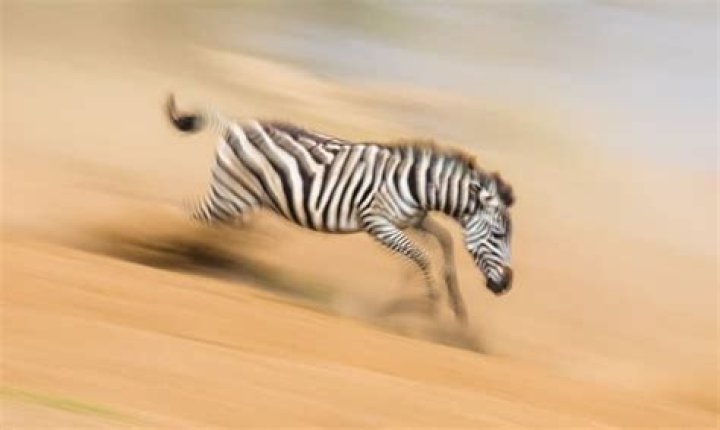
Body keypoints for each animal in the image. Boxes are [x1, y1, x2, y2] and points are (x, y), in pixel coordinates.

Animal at [166, 94, 514, 322]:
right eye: (498, 236)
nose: (506, 285)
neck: (417, 185)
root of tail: (234, 126)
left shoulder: (412, 221)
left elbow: (446, 242)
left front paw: (456, 304)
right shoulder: (378, 223)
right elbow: (421, 256)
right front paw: (428, 303)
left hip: (244, 198)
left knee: (226, 223)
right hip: (229, 196)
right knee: (190, 214)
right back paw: (173, 244)